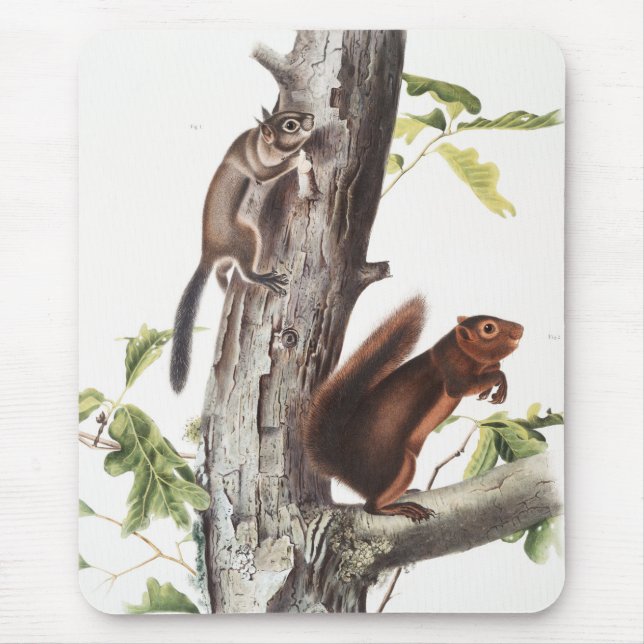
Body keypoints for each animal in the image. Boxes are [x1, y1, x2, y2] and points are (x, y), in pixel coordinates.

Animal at [170, 108, 315, 393]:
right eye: (290, 125)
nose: (312, 119)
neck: (256, 140)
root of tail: (209, 252)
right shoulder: (255, 163)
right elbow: (268, 172)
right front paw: (298, 156)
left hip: (230, 255)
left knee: (222, 271)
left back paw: (224, 285)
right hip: (246, 238)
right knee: (245, 272)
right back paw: (261, 278)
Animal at [302, 296, 523, 522]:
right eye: (488, 328)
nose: (521, 328)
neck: (456, 349)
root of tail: (345, 468)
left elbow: (492, 369)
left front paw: (490, 387)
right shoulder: (454, 376)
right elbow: (468, 384)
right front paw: (498, 381)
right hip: (399, 466)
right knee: (370, 506)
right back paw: (401, 508)